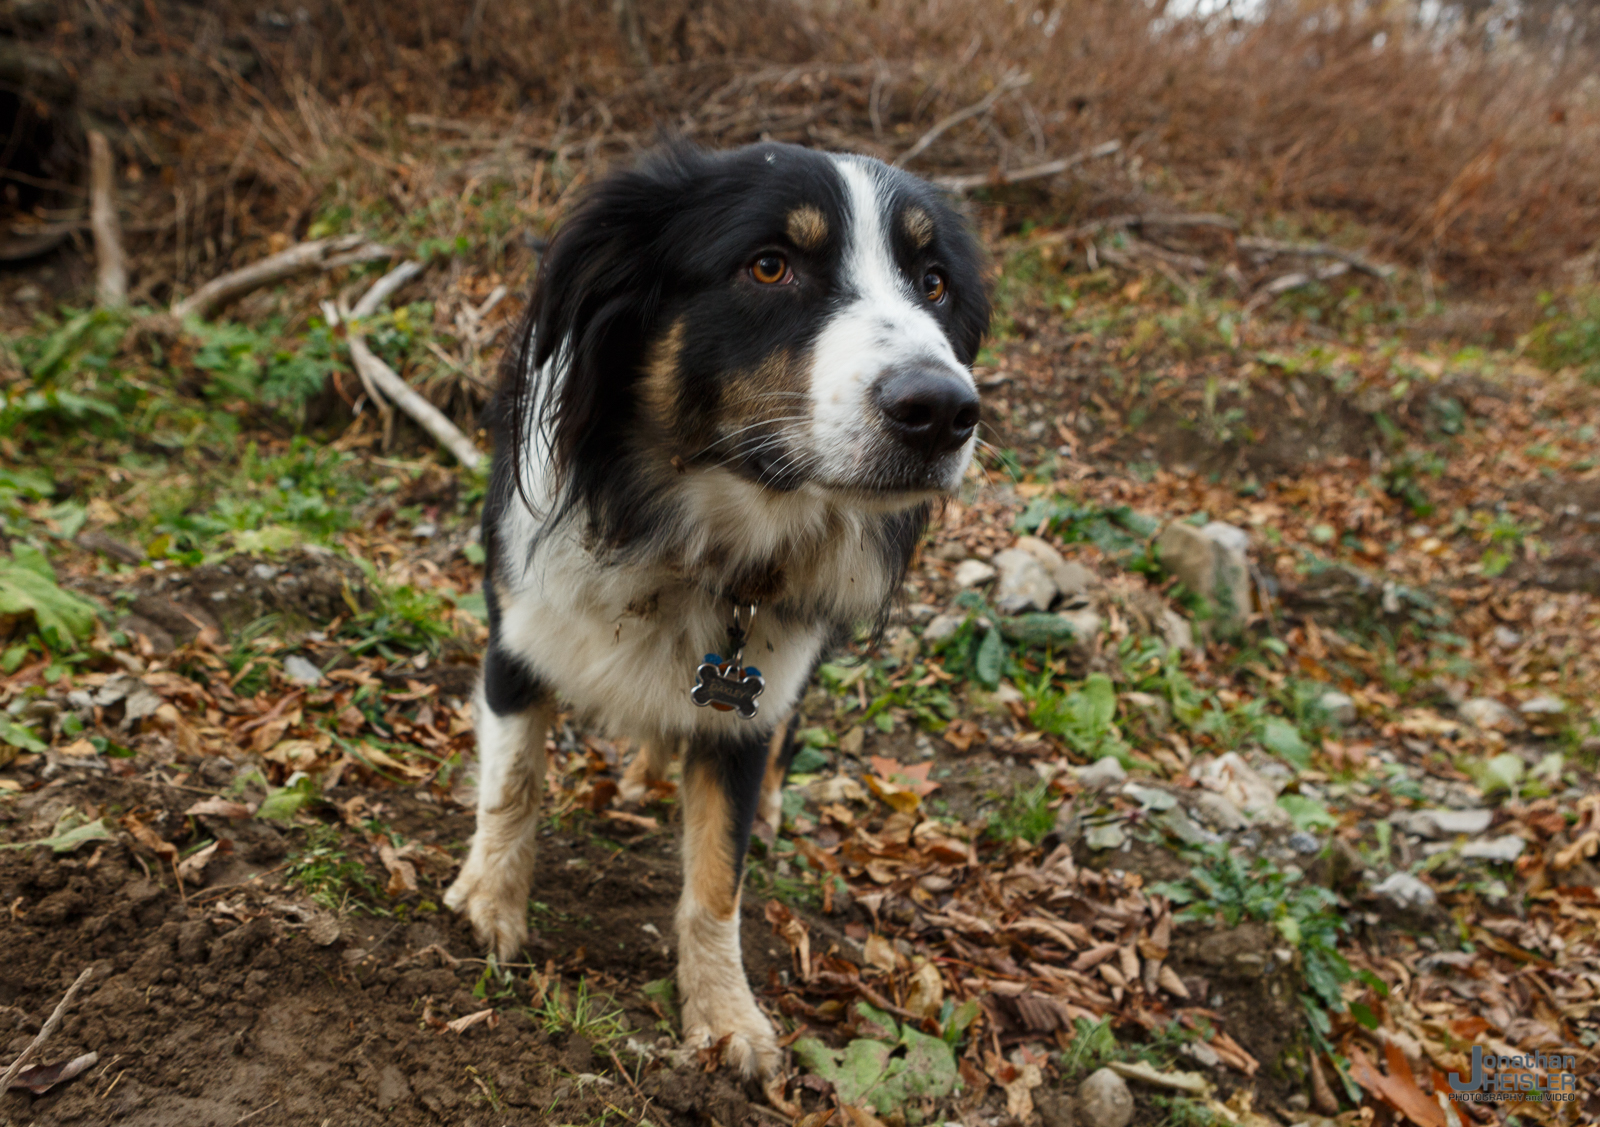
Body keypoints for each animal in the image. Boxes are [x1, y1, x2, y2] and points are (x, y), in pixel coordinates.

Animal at [441, 140, 985, 1075]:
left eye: (935, 282)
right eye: (769, 265)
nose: (944, 410)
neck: (697, 535)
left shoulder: (752, 691)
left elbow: (717, 878)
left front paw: (728, 1018)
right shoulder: (520, 626)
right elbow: (513, 781)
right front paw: (489, 907)